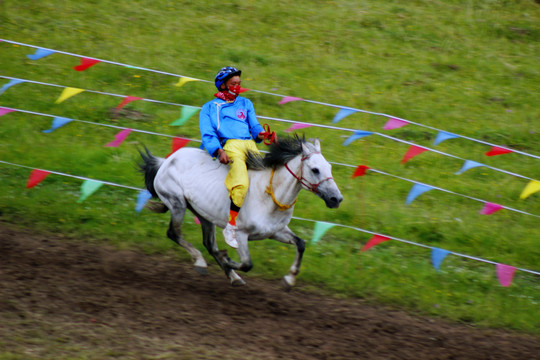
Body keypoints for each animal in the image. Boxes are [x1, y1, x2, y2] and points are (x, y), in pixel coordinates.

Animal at [139, 135, 342, 290]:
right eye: (315, 169)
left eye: (330, 167)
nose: (336, 199)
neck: (268, 196)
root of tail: (165, 161)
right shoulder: (241, 235)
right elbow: (247, 263)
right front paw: (226, 258)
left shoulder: (276, 231)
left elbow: (300, 244)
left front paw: (289, 280)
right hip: (177, 204)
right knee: (174, 233)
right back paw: (201, 262)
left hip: (203, 214)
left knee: (209, 244)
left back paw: (232, 276)